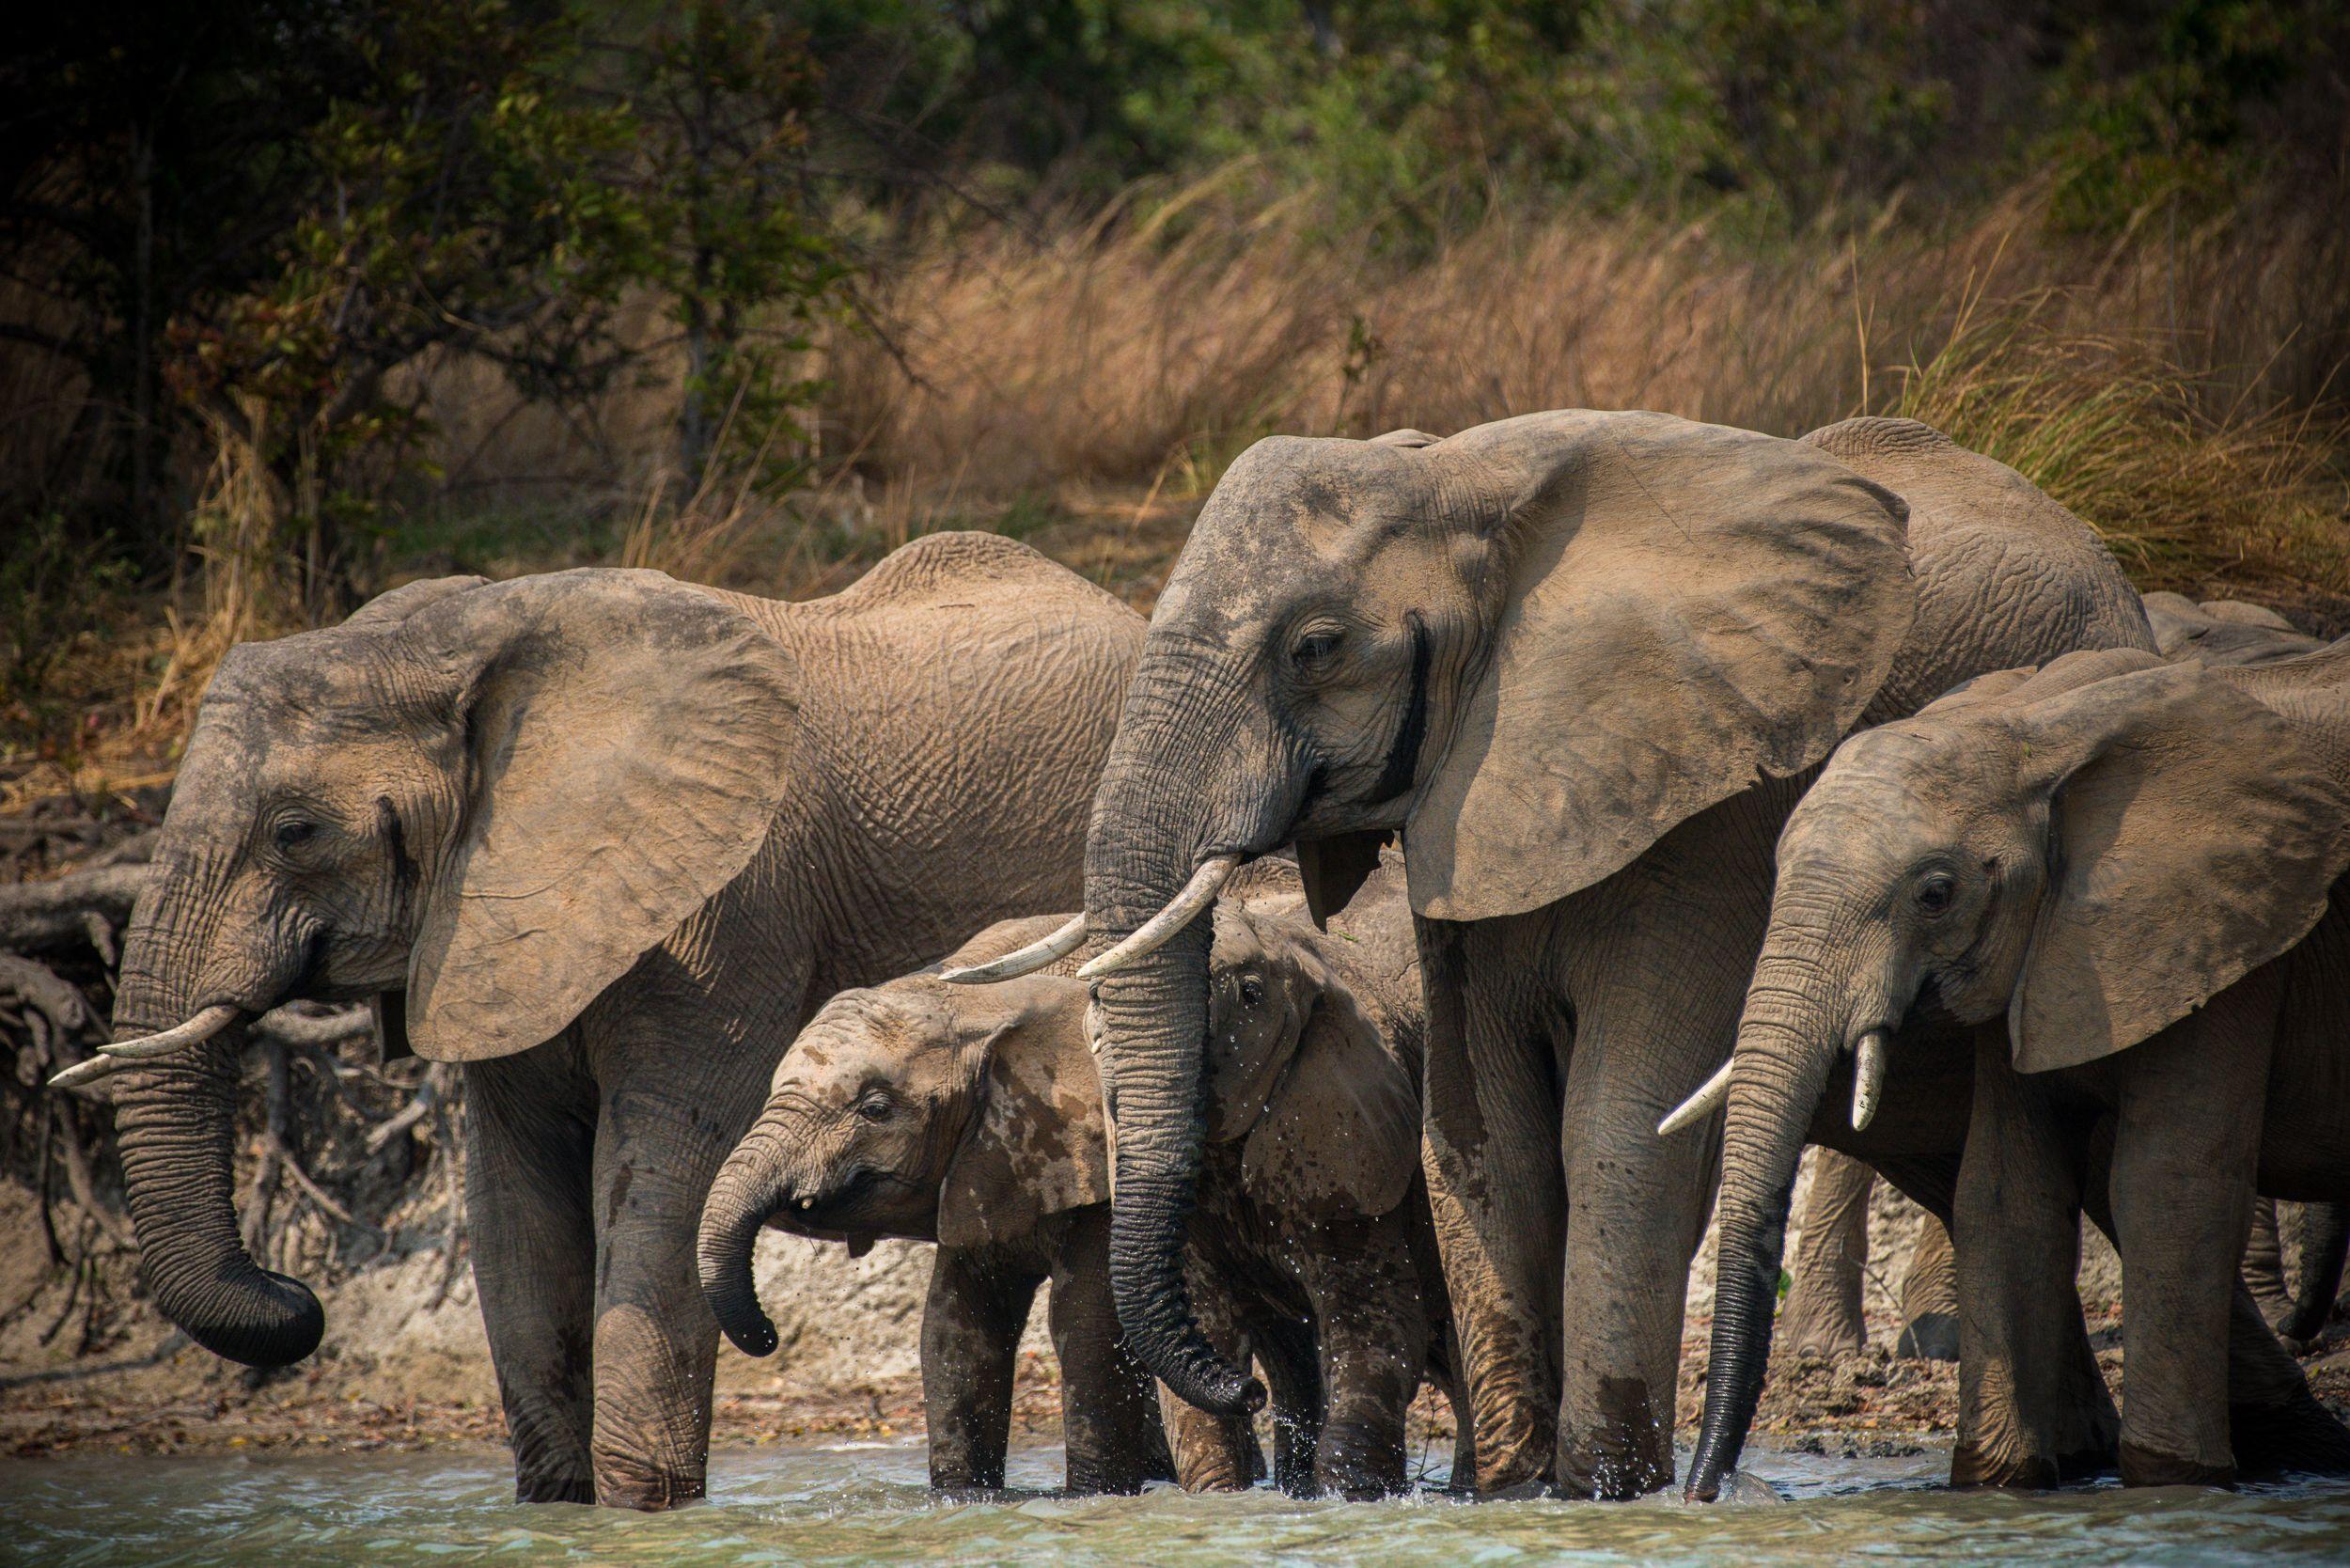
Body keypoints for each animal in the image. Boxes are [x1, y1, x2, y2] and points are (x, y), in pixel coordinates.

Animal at [72, 533, 1144, 1508]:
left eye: (295, 832)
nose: (297, 1297)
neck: (451, 646)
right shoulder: (497, 928)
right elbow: (514, 1208)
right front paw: (557, 1508)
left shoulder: (724, 911)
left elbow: (660, 1178)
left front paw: (642, 1509)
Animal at [698, 856, 1462, 1499]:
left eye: (876, 1109)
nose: (768, 1335)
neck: (978, 1000)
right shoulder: (988, 1164)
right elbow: (955, 1326)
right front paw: (963, 1501)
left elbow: (1085, 1323)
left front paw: (1093, 1495)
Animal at [971, 408, 2157, 1498]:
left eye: (1314, 648)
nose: (1245, 1390)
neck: (1463, 480)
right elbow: (1479, 1136)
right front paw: (1507, 1491)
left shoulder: (1711, 801)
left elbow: (1616, 1126)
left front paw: (1600, 1491)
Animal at [1680, 640, 2350, 1495]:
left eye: (1936, 894)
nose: (1705, 1490)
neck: (2035, 731)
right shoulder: (2048, 950)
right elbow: (2004, 1193)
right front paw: (1999, 1482)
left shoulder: (2226, 933)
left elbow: (2167, 1189)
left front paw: (2172, 1481)